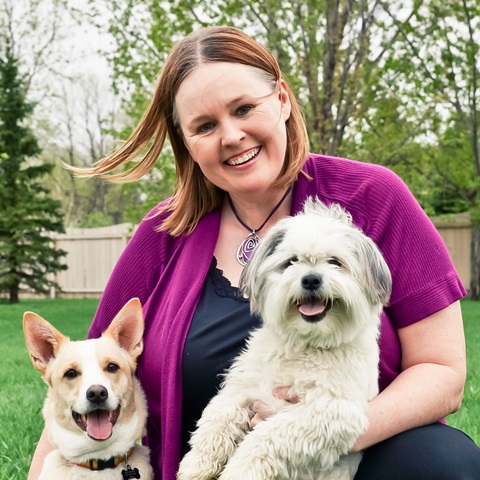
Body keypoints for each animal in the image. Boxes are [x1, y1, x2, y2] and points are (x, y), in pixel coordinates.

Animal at [176, 197, 390, 478]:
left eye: (335, 262)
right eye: (292, 261)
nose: (311, 279)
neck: (306, 344)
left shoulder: (328, 412)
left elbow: (263, 438)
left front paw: (238, 471)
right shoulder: (245, 385)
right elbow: (219, 415)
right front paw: (197, 464)